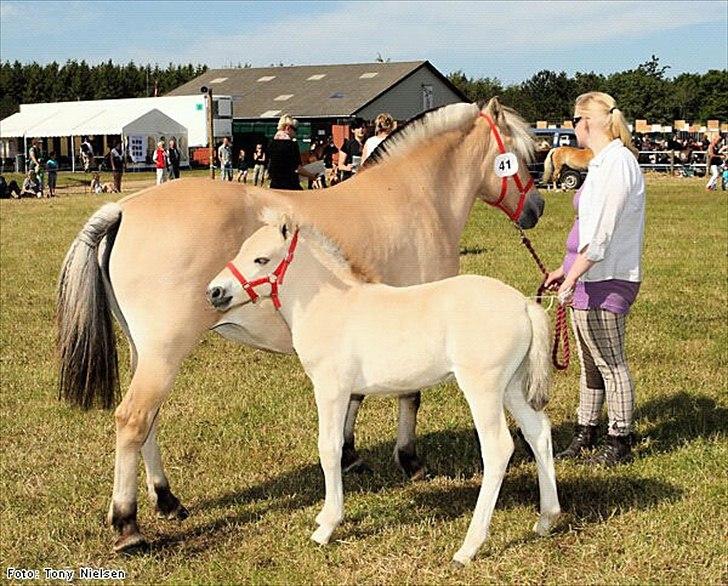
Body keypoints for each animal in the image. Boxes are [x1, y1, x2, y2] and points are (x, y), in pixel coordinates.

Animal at [208, 212, 560, 564]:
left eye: (262, 259)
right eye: (240, 250)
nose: (214, 292)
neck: (331, 304)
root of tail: (525, 304)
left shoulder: (331, 388)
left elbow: (329, 447)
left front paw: (327, 526)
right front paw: (324, 517)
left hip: (483, 387)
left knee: (498, 448)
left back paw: (469, 547)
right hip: (512, 386)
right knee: (538, 431)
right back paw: (546, 519)